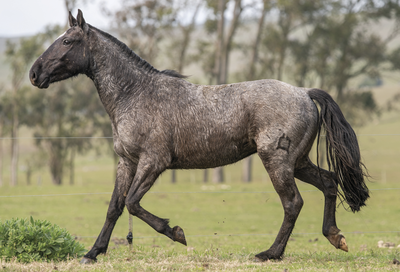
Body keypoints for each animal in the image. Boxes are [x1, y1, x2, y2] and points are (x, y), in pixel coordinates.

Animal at [29, 10, 370, 264]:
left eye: (67, 40)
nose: (34, 73)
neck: (134, 94)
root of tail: (304, 92)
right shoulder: (126, 162)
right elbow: (115, 206)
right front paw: (92, 253)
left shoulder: (154, 161)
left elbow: (133, 203)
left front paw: (177, 233)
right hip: (298, 161)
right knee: (329, 182)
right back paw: (336, 237)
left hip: (277, 161)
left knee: (293, 202)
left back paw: (270, 253)